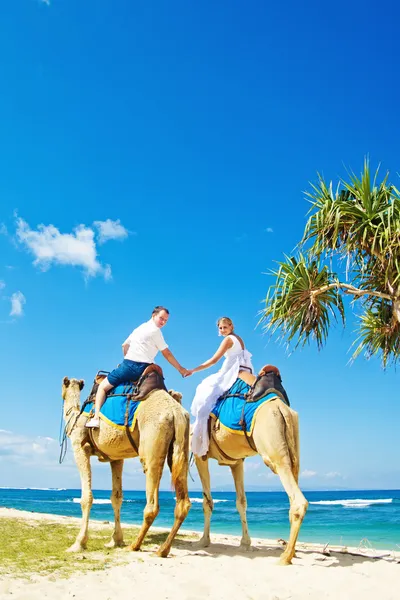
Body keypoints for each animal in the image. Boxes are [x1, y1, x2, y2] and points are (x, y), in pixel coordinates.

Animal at [61, 376, 191, 556]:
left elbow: (87, 497)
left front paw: (78, 543)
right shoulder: (116, 458)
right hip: (180, 447)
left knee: (151, 501)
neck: (75, 416)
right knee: (183, 501)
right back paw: (163, 549)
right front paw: (115, 540)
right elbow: (116, 497)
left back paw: (135, 545)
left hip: (151, 443)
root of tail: (175, 412)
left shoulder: (80, 447)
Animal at [192, 372, 308, 564]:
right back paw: (292, 552)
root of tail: (282, 409)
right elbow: (241, 502)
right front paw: (245, 543)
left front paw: (203, 541)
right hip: (294, 447)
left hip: (273, 451)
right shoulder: (237, 462)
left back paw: (285, 557)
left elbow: (207, 501)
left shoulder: (200, 455)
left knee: (298, 500)